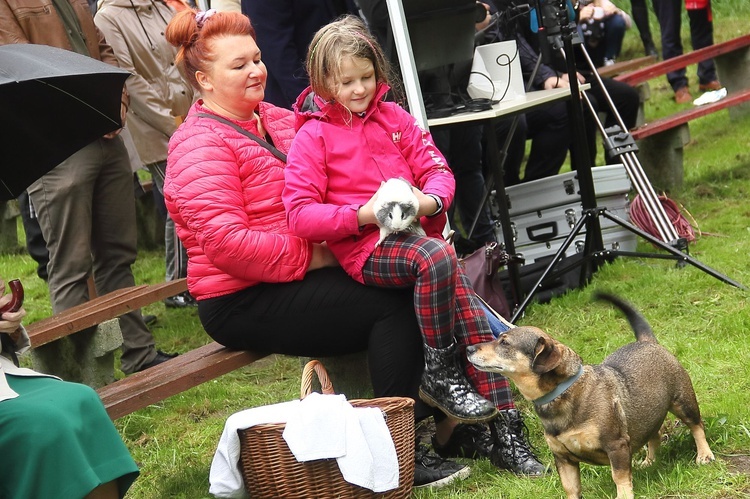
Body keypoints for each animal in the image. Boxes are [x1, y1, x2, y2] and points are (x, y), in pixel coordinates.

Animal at [464, 292, 716, 498]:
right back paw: (650, 461)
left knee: (696, 426)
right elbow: (571, 489)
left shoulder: (616, 446)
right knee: (654, 434)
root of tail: (647, 341)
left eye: (504, 342)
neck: (564, 392)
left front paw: (624, 496)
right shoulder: (563, 459)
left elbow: (620, 478)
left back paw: (704, 455)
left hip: (683, 402)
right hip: (648, 412)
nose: (467, 348)